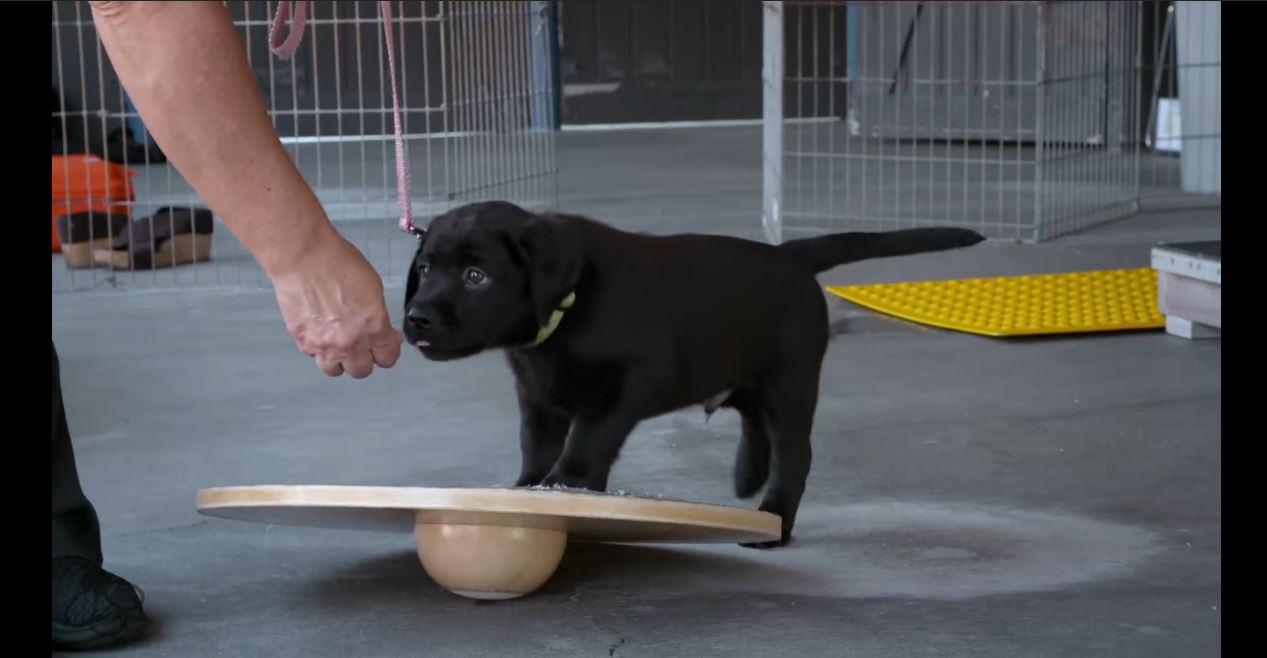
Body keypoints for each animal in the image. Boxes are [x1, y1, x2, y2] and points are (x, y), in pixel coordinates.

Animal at [403, 201, 985, 547]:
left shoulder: (629, 381)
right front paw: (526, 491)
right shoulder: (539, 397)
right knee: (752, 419)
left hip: (790, 379)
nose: (416, 317)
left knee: (794, 453)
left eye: (476, 276)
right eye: (425, 269)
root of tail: (790, 256)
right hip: (743, 369)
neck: (566, 310)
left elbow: (588, 441)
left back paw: (773, 521)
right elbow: (536, 447)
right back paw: (748, 475)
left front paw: (565, 487)